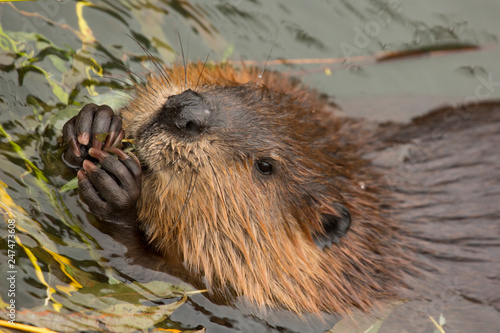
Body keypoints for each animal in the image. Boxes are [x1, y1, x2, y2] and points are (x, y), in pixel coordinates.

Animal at [62, 63, 500, 326]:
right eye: (241, 87)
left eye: (265, 166)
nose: (186, 111)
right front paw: (92, 125)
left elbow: (166, 278)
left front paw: (117, 186)